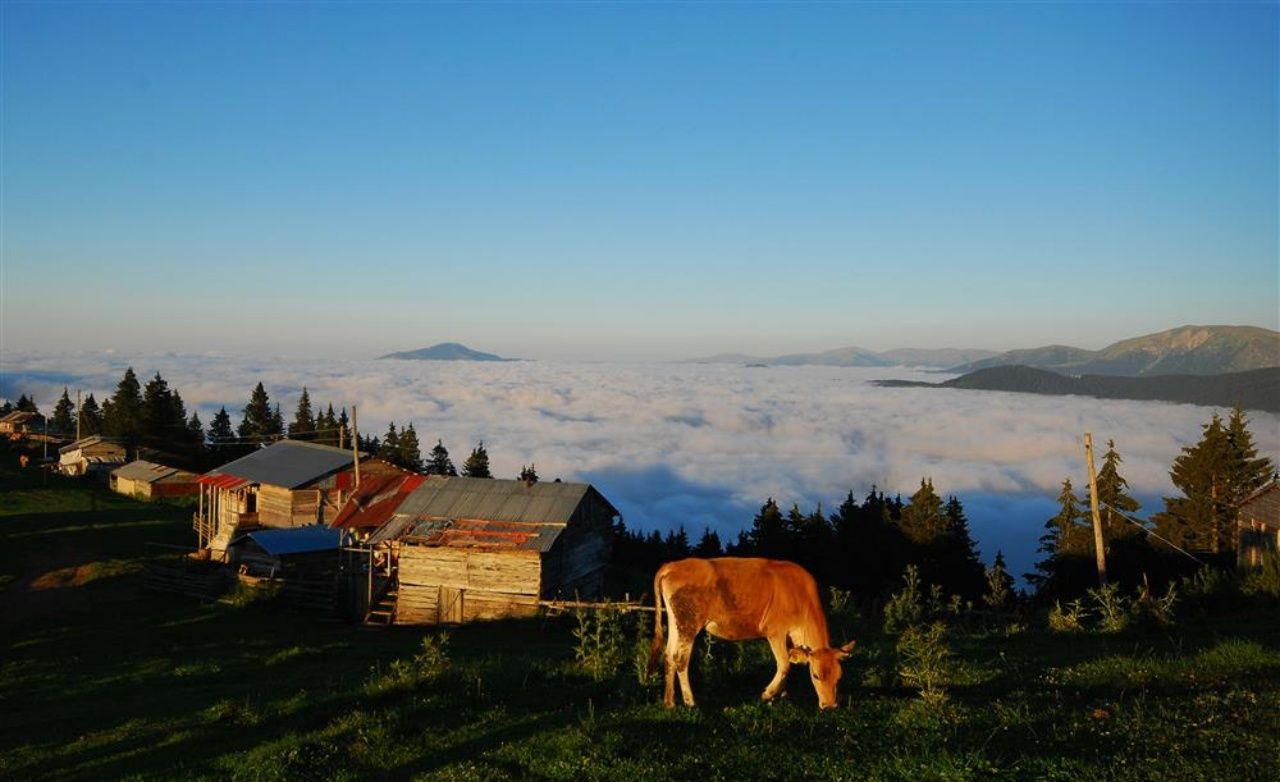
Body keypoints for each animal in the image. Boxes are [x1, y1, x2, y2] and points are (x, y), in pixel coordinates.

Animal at [650, 558, 860, 711]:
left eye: (839, 677)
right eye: (815, 675)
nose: (830, 706)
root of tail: (672, 565)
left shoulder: (789, 636)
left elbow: (789, 662)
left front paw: (781, 696)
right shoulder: (775, 631)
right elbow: (784, 664)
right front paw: (768, 694)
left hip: (676, 623)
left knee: (669, 656)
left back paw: (669, 702)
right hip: (689, 624)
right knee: (680, 659)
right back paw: (689, 701)